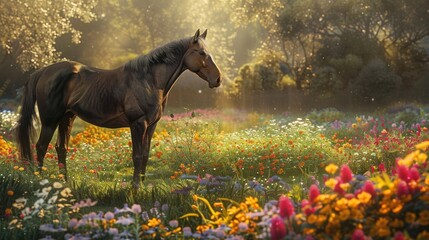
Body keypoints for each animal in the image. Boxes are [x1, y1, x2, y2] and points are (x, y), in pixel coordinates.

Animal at [16, 29, 221, 188]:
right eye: (201, 53)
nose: (217, 79)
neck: (149, 80)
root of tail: (44, 71)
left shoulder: (151, 125)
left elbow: (145, 155)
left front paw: (143, 185)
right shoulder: (138, 124)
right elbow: (137, 155)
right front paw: (135, 187)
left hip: (67, 118)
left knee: (61, 148)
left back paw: (64, 182)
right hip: (50, 120)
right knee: (41, 147)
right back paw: (41, 182)